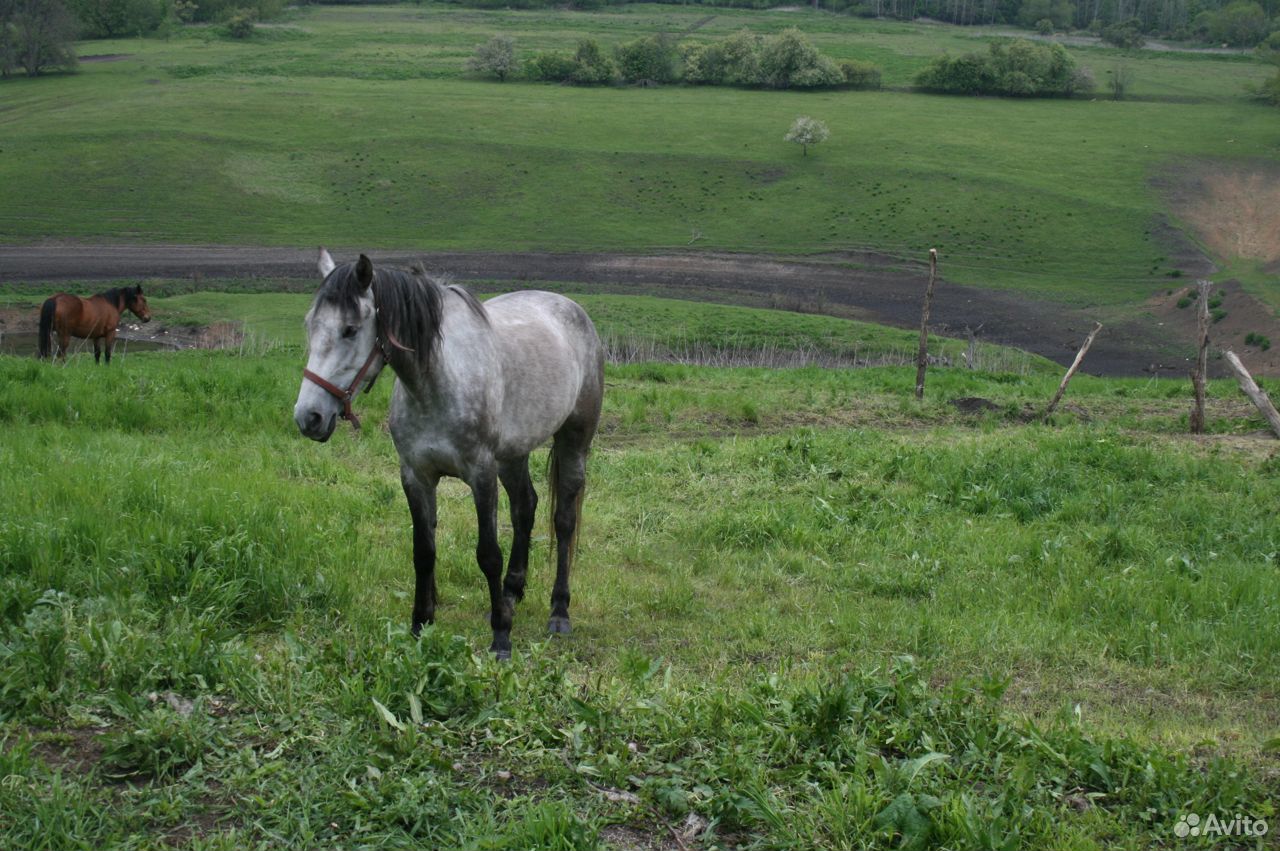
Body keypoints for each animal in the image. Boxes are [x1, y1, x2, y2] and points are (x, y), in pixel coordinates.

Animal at [294, 249, 604, 660]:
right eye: (310, 325)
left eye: (350, 329)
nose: (308, 417)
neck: (437, 382)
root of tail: (572, 309)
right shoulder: (416, 476)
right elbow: (423, 552)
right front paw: (420, 626)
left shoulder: (481, 474)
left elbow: (488, 554)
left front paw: (500, 638)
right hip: (513, 455)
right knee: (525, 508)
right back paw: (511, 593)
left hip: (573, 442)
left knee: (564, 521)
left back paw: (558, 611)